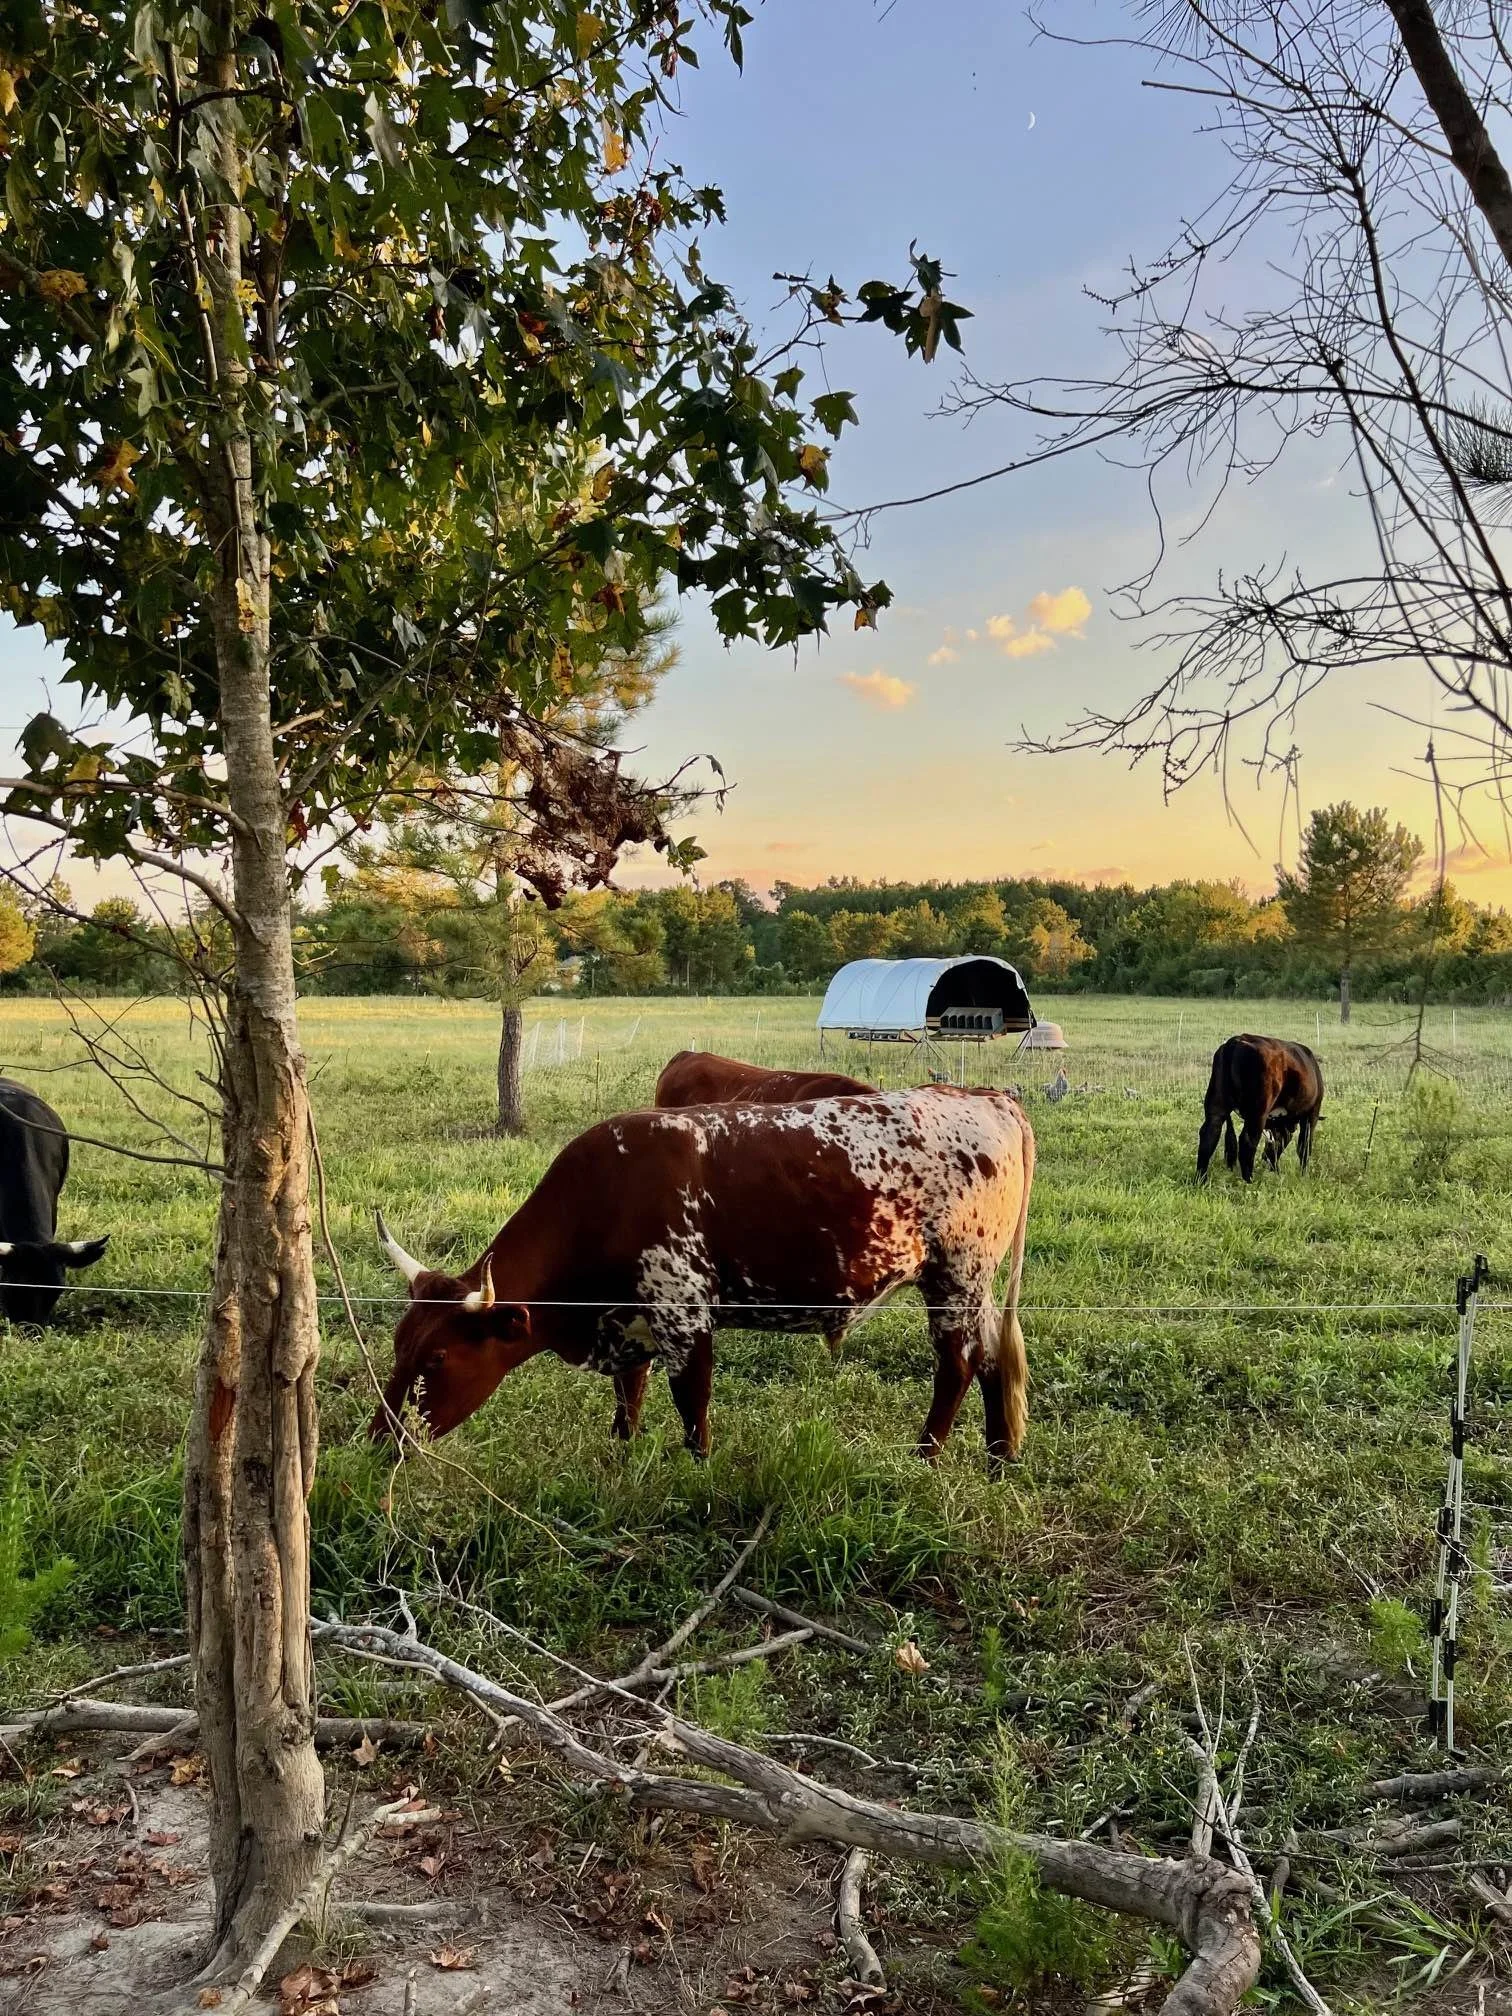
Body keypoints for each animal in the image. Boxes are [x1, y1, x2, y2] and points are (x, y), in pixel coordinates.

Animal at [372, 1087, 1036, 1469]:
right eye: (399, 1347)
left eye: (436, 1359)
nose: (381, 1443)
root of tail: (984, 1096)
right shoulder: (632, 1321)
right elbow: (629, 1399)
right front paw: (622, 1460)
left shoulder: (684, 1316)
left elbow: (692, 1408)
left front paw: (699, 1475)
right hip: (974, 1288)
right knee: (994, 1362)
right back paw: (999, 1458)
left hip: (955, 1277)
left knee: (957, 1367)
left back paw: (925, 1458)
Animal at [1197, 1035, 1324, 1182]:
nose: (1269, 1163)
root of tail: (1238, 1039)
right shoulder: (1312, 1113)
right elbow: (1304, 1147)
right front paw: (1305, 1176)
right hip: (1258, 1112)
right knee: (1248, 1141)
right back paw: (1249, 1180)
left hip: (1216, 1105)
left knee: (1209, 1134)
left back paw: (1201, 1179)